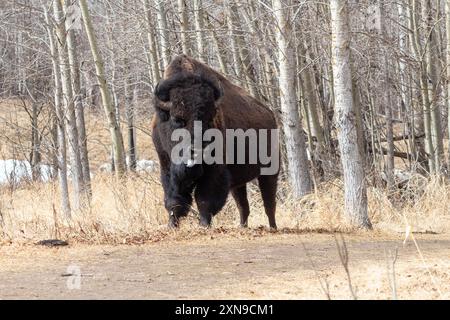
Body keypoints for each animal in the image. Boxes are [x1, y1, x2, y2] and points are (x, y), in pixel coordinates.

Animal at [151, 55, 278, 230]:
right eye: (177, 119)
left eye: (209, 118)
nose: (196, 151)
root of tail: (270, 115)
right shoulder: (167, 165)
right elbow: (173, 199)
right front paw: (172, 225)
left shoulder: (214, 170)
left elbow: (204, 198)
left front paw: (204, 224)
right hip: (238, 183)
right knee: (243, 205)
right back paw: (242, 226)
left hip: (269, 172)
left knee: (269, 203)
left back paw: (272, 227)